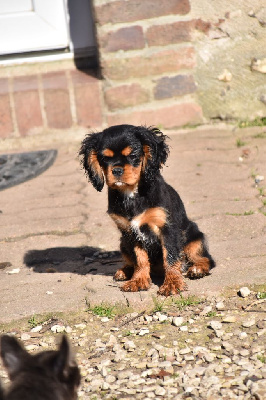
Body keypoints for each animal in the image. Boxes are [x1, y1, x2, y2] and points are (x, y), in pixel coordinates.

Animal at [80, 125, 215, 296]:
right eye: (104, 158)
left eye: (132, 155)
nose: (116, 170)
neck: (131, 193)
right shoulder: (130, 233)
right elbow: (140, 258)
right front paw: (138, 280)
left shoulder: (167, 228)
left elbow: (170, 256)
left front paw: (172, 283)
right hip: (123, 243)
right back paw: (125, 271)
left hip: (194, 238)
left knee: (206, 259)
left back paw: (197, 269)